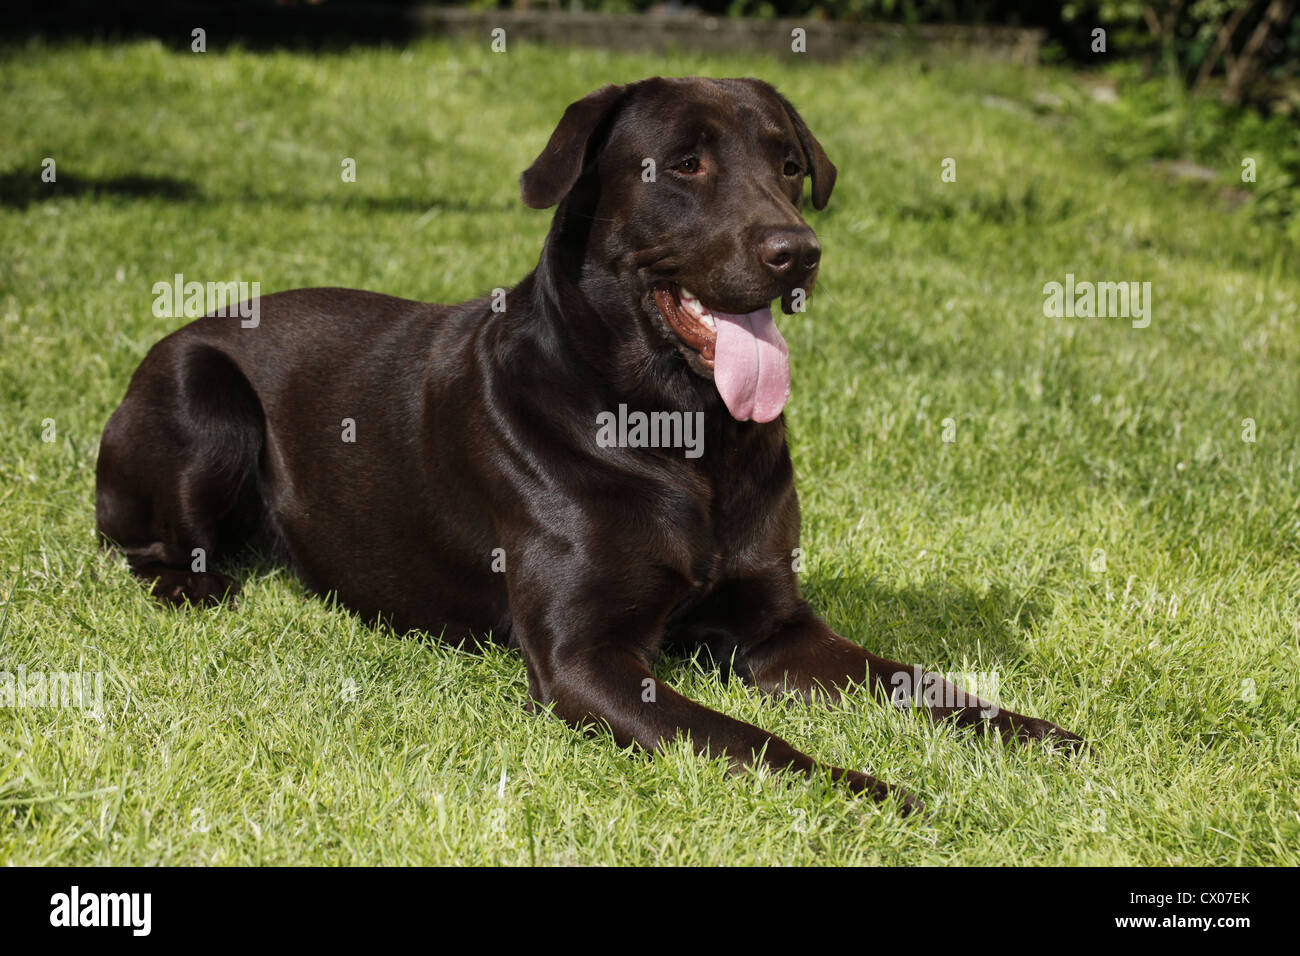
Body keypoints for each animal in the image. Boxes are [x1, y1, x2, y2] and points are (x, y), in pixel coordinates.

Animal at [96, 76, 1081, 816]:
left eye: (790, 165)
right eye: (684, 163)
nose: (799, 251)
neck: (682, 435)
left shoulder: (778, 628)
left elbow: (922, 682)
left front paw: (1039, 735)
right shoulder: (585, 660)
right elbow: (753, 742)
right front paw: (881, 793)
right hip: (202, 396)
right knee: (135, 544)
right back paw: (198, 585)